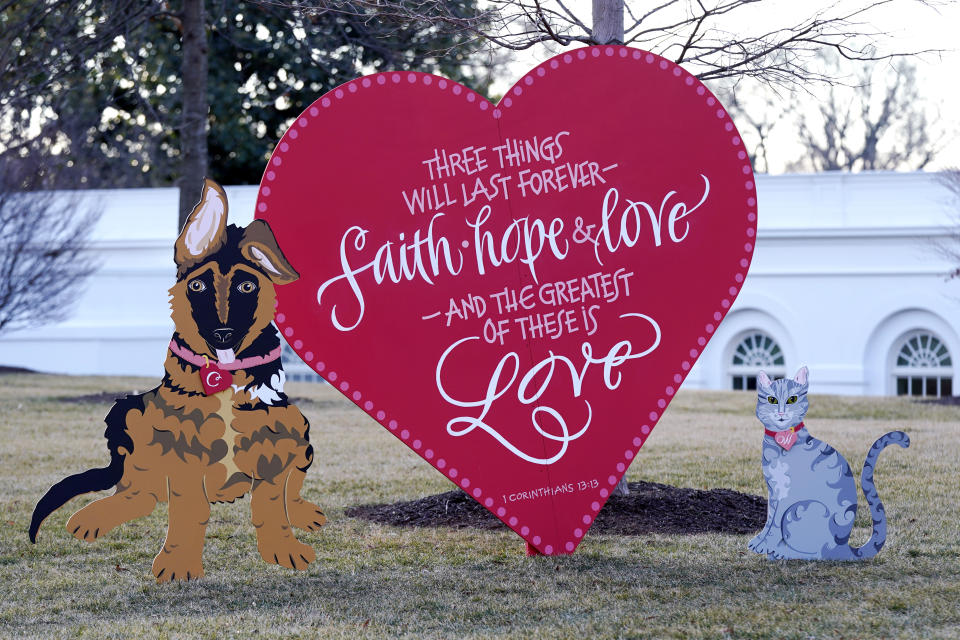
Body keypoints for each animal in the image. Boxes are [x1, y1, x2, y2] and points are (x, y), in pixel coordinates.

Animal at [29, 179, 326, 580]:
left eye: (248, 287)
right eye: (197, 286)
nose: (222, 335)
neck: (223, 380)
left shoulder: (275, 443)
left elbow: (271, 506)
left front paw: (283, 549)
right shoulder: (183, 453)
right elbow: (190, 510)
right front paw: (178, 562)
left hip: (299, 431)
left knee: (290, 486)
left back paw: (300, 510)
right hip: (129, 412)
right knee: (137, 492)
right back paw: (96, 516)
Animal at [752, 368, 908, 564]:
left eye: (792, 399)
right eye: (772, 400)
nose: (781, 413)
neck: (781, 441)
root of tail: (843, 547)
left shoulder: (788, 494)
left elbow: (774, 523)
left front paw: (767, 546)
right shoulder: (773, 490)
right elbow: (769, 518)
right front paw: (759, 542)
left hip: (800, 510)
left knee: (817, 554)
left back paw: (783, 552)